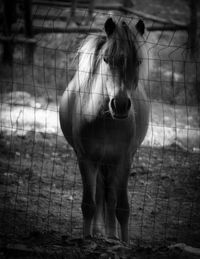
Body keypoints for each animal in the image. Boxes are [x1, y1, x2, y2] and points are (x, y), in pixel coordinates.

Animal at [58, 17, 149, 243]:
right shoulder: (86, 158)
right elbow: (89, 204)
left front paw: (124, 243)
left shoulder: (124, 159)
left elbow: (122, 207)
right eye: (106, 59)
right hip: (100, 162)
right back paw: (100, 232)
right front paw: (86, 237)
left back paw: (110, 234)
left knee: (110, 195)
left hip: (111, 162)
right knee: (101, 193)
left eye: (138, 62)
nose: (121, 105)